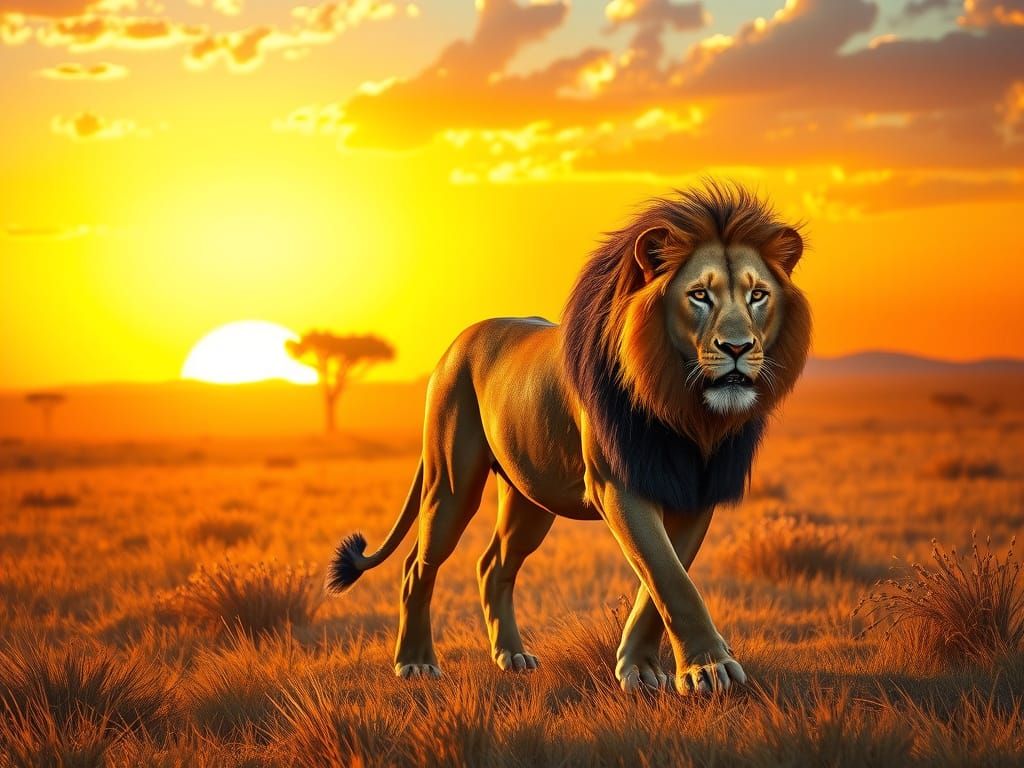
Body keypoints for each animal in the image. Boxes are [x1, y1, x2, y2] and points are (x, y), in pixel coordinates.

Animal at [326, 181, 812, 694]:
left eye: (758, 295)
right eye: (699, 295)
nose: (738, 347)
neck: (685, 408)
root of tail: (454, 346)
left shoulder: (696, 493)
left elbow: (661, 582)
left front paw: (639, 667)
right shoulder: (617, 484)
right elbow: (670, 578)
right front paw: (707, 668)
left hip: (530, 497)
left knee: (493, 565)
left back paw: (512, 656)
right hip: (451, 483)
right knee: (417, 565)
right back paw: (415, 662)